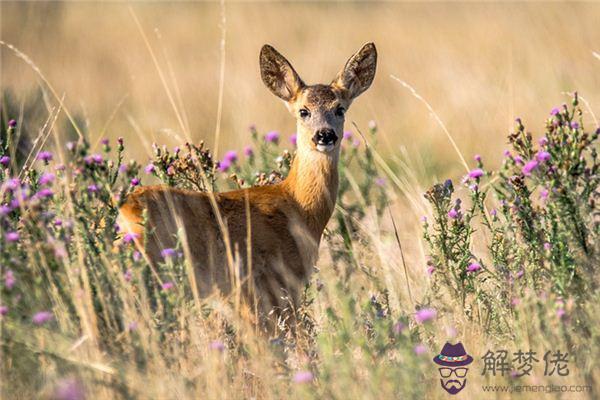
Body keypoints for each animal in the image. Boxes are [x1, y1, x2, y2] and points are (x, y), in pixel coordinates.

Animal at [118, 42, 378, 330]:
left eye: (340, 109)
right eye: (303, 111)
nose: (324, 135)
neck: (298, 206)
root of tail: (124, 213)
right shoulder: (270, 283)